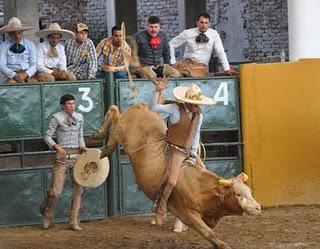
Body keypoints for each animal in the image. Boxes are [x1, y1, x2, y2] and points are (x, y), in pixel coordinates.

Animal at [91, 104, 262, 248]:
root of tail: (142, 107)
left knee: (115, 111)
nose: (258, 207)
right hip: (123, 130)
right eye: (238, 194)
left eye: (250, 192)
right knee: (114, 115)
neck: (200, 187)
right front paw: (222, 245)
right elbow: (208, 232)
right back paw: (103, 142)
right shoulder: (188, 214)